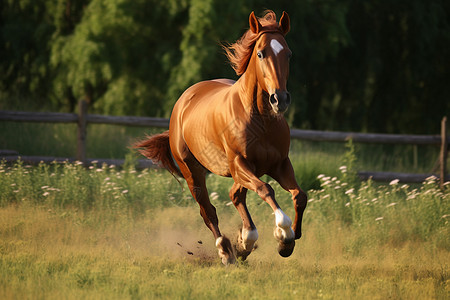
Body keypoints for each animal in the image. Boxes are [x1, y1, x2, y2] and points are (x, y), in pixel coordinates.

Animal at [135, 11, 308, 264]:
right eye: (260, 53)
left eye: (288, 53)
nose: (280, 99)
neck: (260, 119)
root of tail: (183, 102)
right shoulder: (239, 164)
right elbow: (266, 189)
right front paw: (283, 233)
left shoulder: (279, 164)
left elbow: (299, 196)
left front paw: (288, 242)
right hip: (193, 172)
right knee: (208, 211)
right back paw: (226, 250)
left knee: (235, 195)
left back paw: (245, 243)